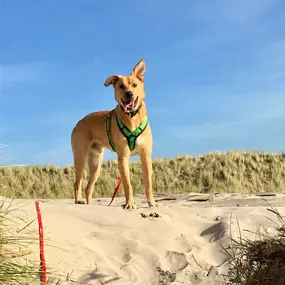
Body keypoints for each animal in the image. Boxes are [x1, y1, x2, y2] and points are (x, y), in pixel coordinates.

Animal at [70, 58, 155, 209]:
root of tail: (79, 122)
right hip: (80, 158)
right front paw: (130, 204)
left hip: (96, 163)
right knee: (77, 183)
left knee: (88, 188)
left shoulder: (145, 156)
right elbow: (127, 184)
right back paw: (78, 200)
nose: (129, 94)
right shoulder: (123, 158)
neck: (132, 117)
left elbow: (148, 184)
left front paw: (153, 203)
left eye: (134, 85)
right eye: (121, 86)